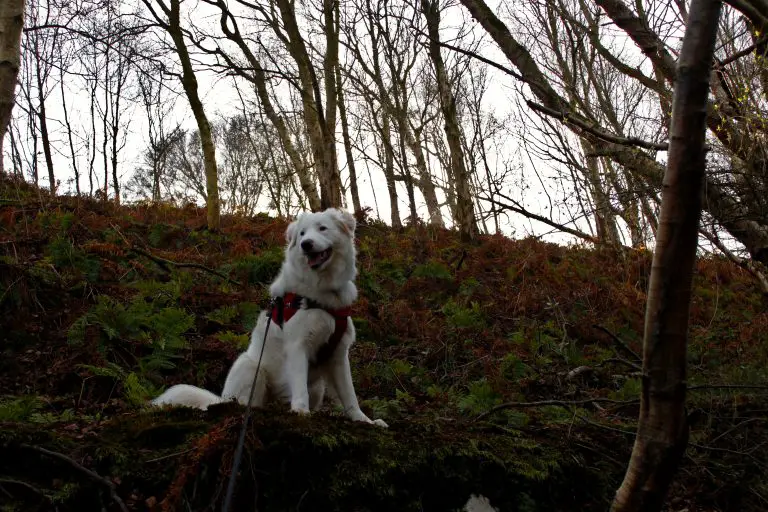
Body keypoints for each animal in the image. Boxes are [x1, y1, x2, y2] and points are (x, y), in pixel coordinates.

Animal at [152, 208, 388, 428]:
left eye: (322, 228)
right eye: (302, 234)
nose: (306, 244)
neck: (322, 292)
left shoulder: (339, 354)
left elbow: (350, 395)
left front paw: (364, 420)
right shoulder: (297, 345)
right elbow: (300, 387)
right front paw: (301, 412)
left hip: (317, 387)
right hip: (249, 367)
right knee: (247, 402)